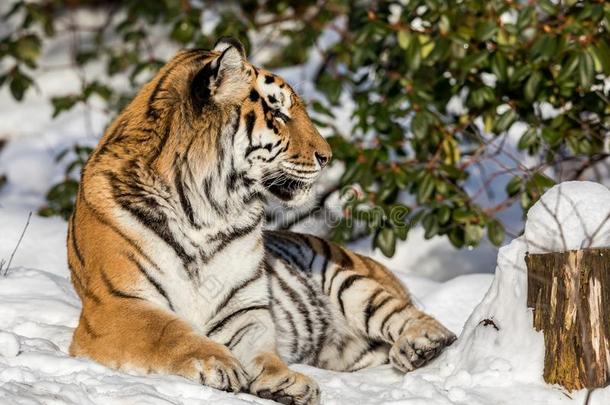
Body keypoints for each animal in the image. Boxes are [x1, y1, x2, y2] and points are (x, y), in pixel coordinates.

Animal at [67, 38, 456, 404]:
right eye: (279, 113)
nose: (327, 156)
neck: (205, 210)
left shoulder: (243, 309)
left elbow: (262, 351)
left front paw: (285, 381)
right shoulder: (115, 305)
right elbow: (169, 331)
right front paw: (220, 364)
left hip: (348, 281)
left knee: (418, 319)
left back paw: (420, 344)